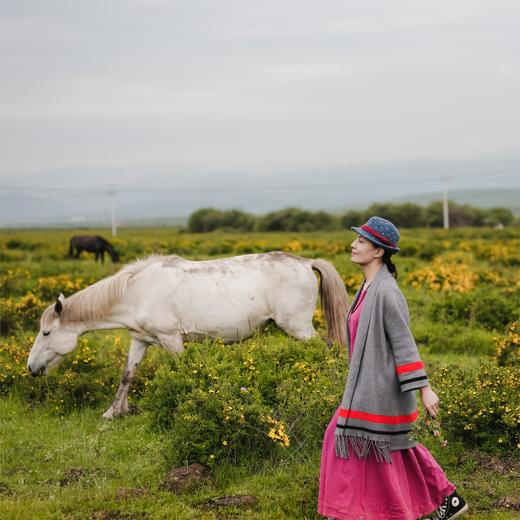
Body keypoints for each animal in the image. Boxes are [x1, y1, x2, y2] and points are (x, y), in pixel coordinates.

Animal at [26, 252, 348, 418]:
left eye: (46, 332)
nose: (31, 368)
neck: (136, 291)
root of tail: (306, 262)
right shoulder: (140, 340)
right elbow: (128, 375)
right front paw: (113, 412)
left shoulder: (171, 339)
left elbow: (184, 372)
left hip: (298, 327)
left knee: (328, 351)